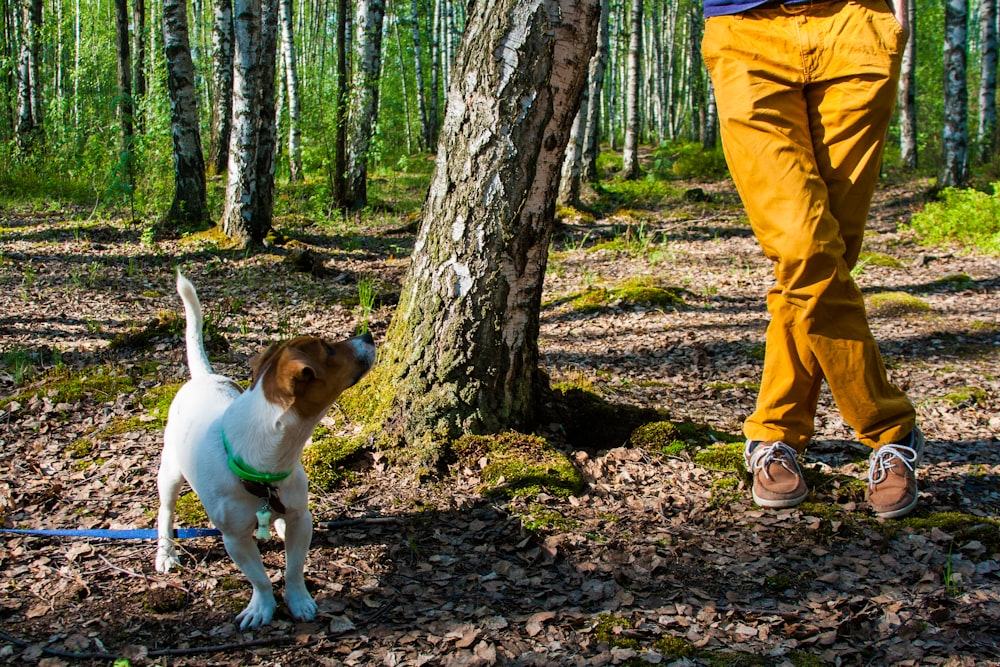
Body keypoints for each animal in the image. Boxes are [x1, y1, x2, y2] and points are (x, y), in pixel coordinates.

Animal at [154, 268, 376, 628]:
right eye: (328, 349)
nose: (369, 336)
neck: (264, 464)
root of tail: (203, 377)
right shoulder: (234, 539)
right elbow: (258, 578)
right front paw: (262, 606)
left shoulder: (301, 516)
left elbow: (294, 568)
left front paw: (298, 600)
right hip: (170, 473)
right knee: (165, 511)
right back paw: (166, 552)